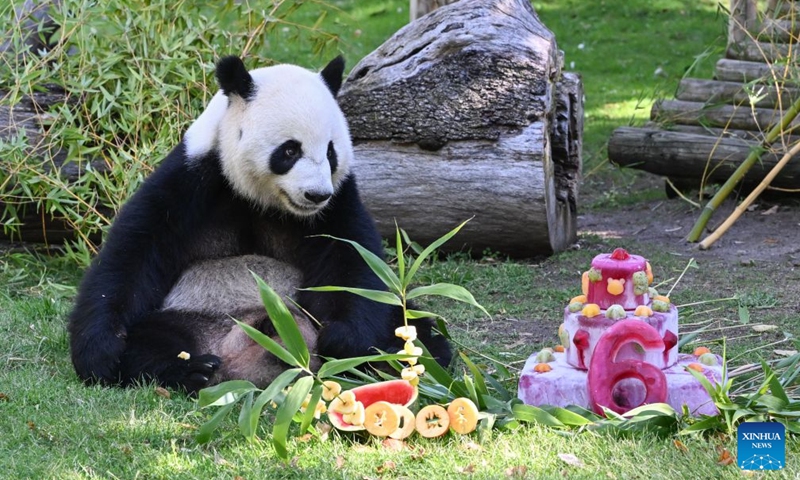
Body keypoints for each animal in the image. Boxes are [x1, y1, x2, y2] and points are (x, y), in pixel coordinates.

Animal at [67, 55, 451, 394]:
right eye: (290, 150)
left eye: (331, 152)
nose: (316, 195)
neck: (264, 199)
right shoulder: (194, 177)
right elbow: (134, 253)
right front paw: (101, 353)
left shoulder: (339, 201)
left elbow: (352, 262)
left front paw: (342, 340)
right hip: (187, 315)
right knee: (152, 341)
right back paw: (192, 369)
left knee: (415, 333)